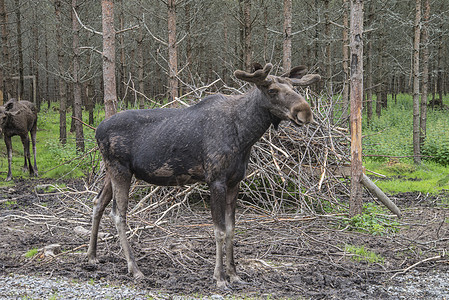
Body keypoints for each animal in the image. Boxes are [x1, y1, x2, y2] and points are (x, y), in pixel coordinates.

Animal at [86, 62, 318, 288]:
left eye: (294, 87)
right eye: (272, 90)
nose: (305, 111)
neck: (245, 136)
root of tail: (97, 130)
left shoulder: (235, 182)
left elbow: (232, 229)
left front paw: (234, 274)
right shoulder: (215, 180)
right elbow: (219, 231)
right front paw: (220, 277)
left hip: (111, 171)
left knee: (98, 202)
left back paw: (91, 256)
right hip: (120, 169)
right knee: (118, 214)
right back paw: (134, 269)